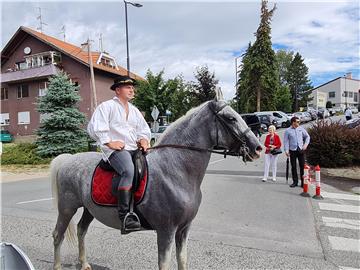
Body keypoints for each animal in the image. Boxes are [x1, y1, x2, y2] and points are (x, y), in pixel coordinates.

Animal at [51, 99, 262, 270]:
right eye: (231, 118)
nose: (258, 148)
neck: (176, 170)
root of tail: (67, 159)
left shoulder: (183, 230)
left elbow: (182, 259)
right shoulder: (166, 231)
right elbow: (165, 263)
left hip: (89, 209)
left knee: (81, 230)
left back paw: (84, 263)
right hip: (67, 208)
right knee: (57, 235)